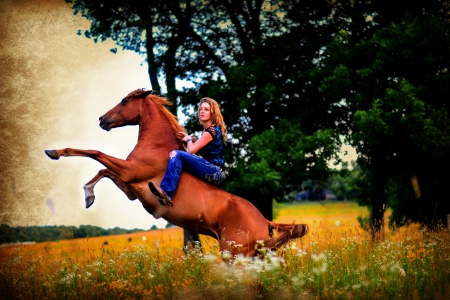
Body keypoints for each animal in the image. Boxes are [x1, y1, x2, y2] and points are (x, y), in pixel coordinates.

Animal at [44, 88, 308, 256]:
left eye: (125, 101)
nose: (101, 119)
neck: (158, 146)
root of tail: (265, 221)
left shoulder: (130, 172)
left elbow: (94, 152)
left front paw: (53, 151)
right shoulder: (130, 188)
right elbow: (102, 169)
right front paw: (88, 196)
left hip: (235, 254)